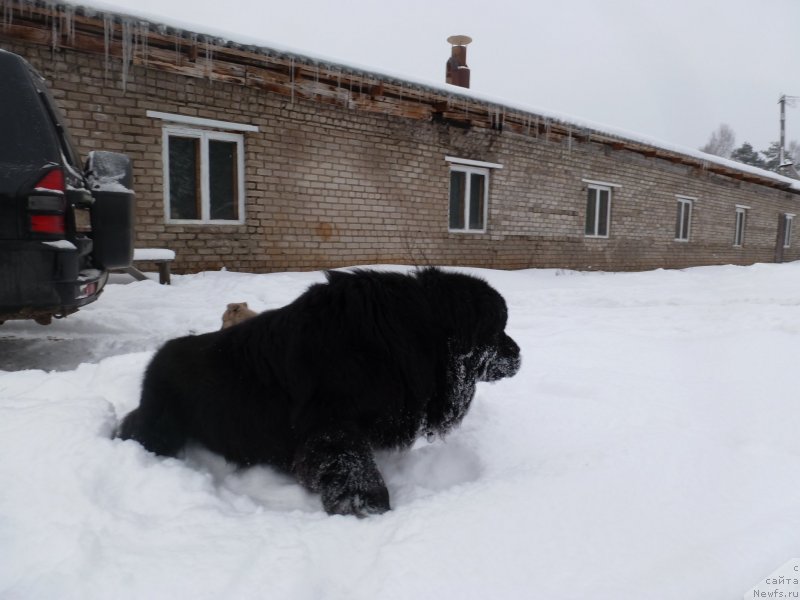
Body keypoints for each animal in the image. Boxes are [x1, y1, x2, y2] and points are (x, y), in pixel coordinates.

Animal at [117, 268, 520, 516]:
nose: (519, 354)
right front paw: (367, 505)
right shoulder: (331, 426)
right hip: (162, 428)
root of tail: (157, 358)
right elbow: (352, 464)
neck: (413, 335)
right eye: (498, 328)